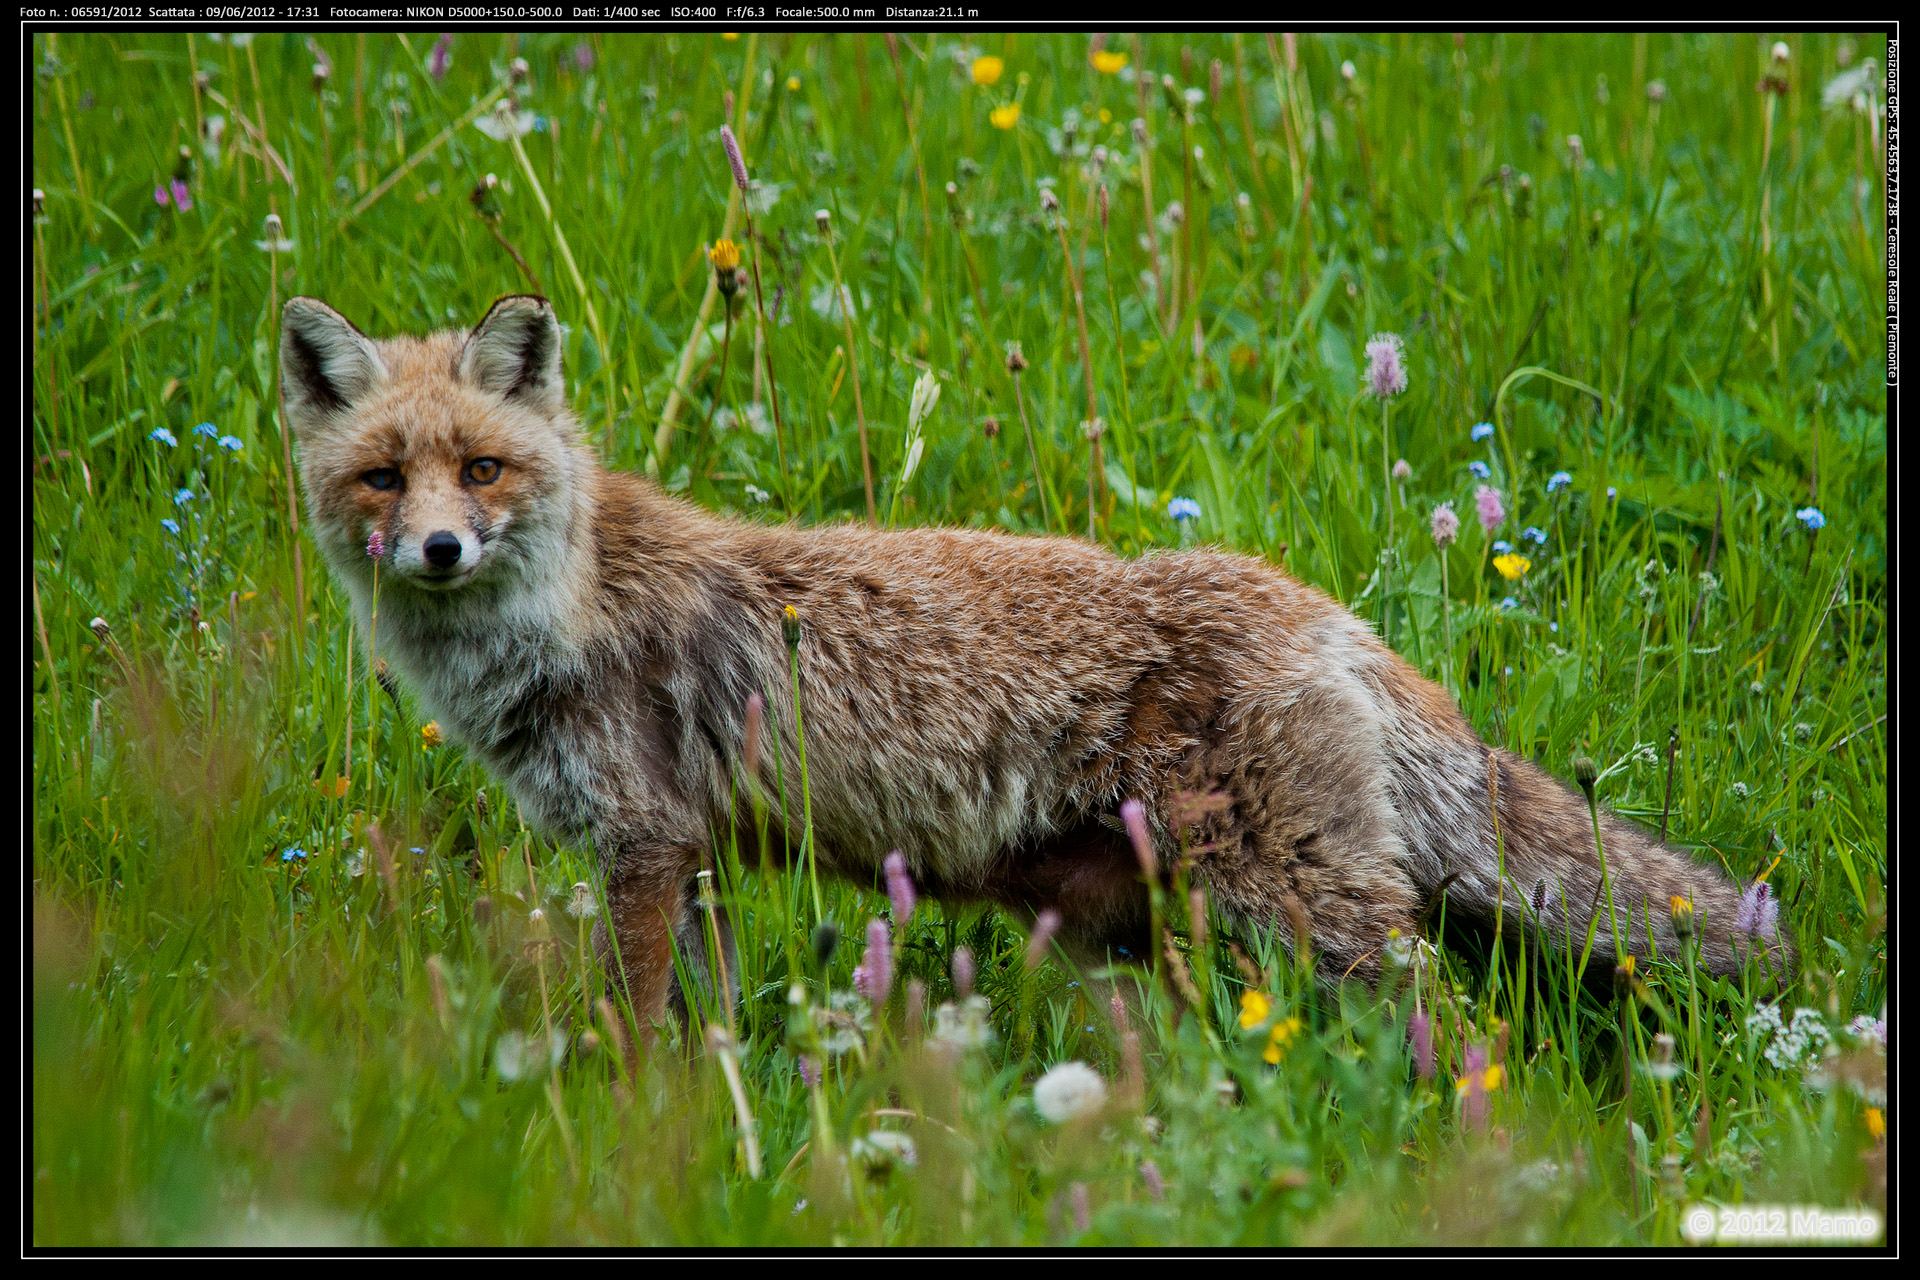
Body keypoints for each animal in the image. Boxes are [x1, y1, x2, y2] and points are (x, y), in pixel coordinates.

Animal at [280, 292, 1792, 1032]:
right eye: (382, 479)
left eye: (480, 469)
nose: (437, 551)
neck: (559, 616)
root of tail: (1326, 610)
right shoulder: (685, 853)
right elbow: (700, 1019)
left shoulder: (643, 844)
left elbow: (633, 1023)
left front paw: (635, 1125)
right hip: (1161, 925)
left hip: (1312, 918)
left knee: (1456, 1037)